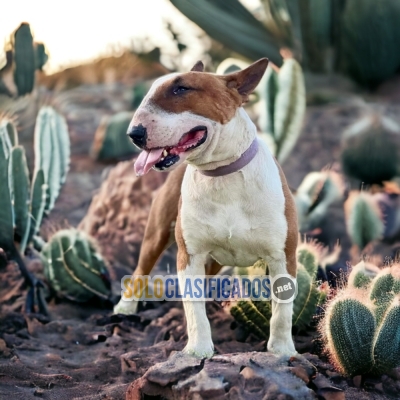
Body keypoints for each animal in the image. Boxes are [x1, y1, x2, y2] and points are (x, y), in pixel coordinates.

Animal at [114, 58, 298, 356]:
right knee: (142, 268)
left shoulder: (283, 256)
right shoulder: (190, 255)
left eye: (181, 88)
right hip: (157, 234)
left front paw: (282, 351)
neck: (222, 174)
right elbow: (194, 309)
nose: (134, 134)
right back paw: (125, 308)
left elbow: (282, 311)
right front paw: (198, 349)